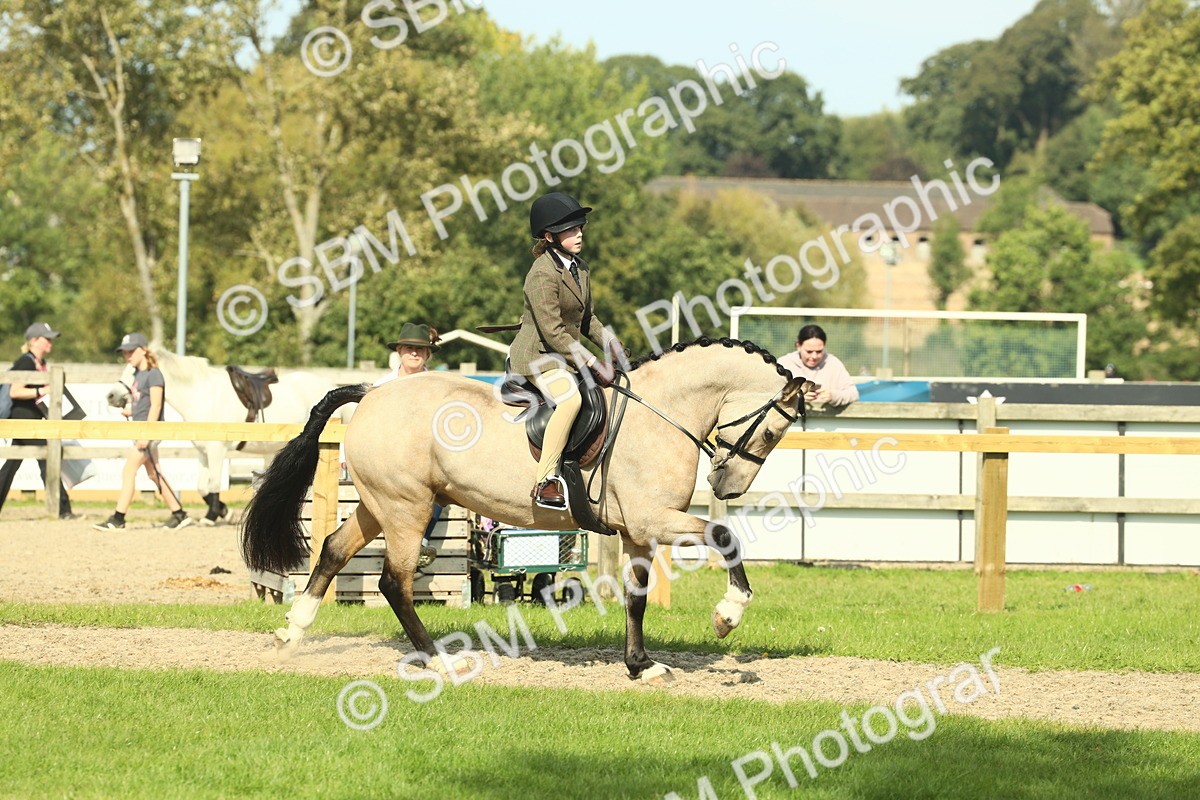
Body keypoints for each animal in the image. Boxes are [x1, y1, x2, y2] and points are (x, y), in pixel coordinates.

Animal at [107, 347, 346, 524]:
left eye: (135, 371)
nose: (111, 395)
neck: (201, 394)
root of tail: (329, 385)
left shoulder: (216, 450)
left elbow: (213, 484)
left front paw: (212, 516)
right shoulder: (203, 451)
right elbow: (202, 486)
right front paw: (223, 511)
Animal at [241, 337, 808, 682]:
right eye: (772, 433)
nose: (726, 486)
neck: (659, 413)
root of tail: (373, 394)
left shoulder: (637, 533)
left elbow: (636, 599)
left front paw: (641, 665)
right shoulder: (655, 521)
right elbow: (725, 537)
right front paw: (727, 616)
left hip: (380, 504)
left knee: (334, 551)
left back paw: (290, 635)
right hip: (406, 509)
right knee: (393, 582)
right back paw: (436, 660)